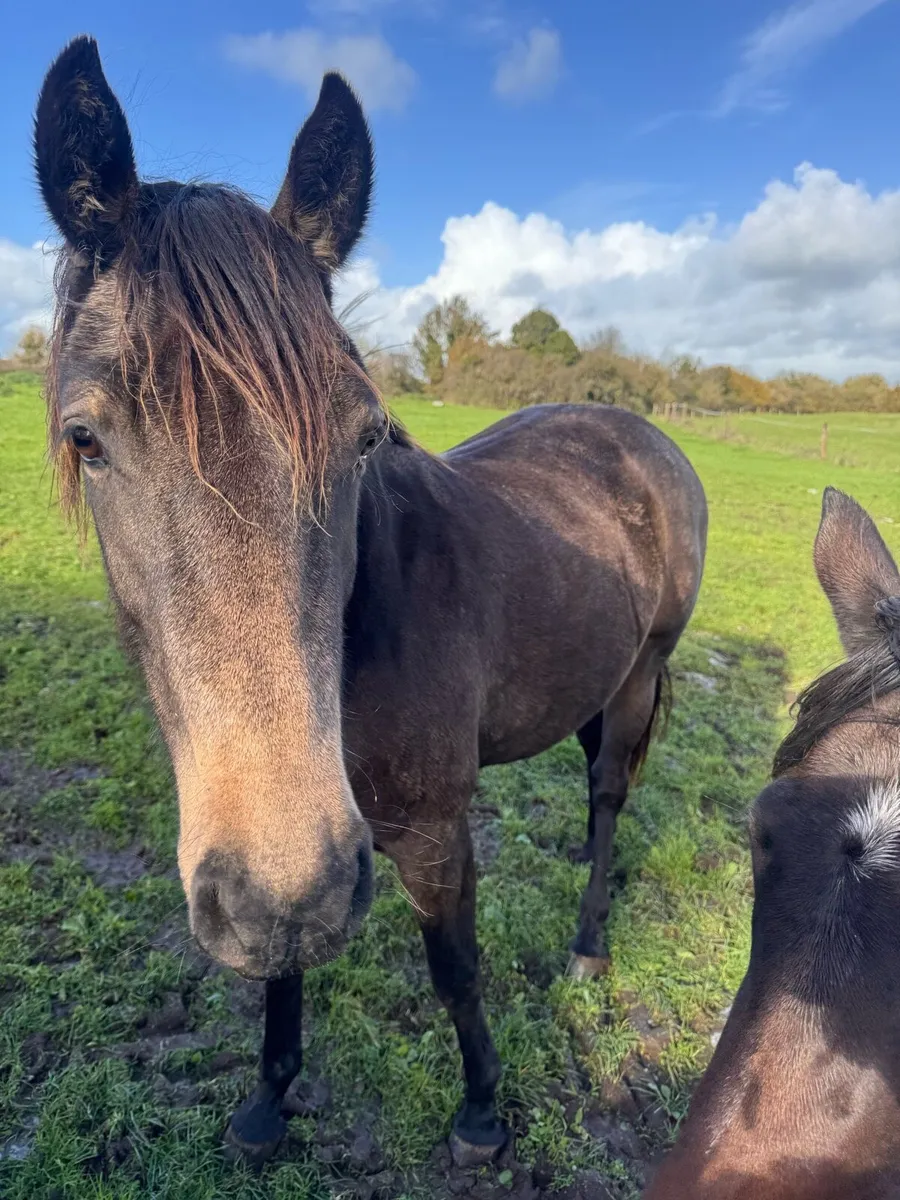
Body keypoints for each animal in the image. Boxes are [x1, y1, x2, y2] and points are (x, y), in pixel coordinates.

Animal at [34, 37, 707, 1168]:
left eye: (363, 435)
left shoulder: (434, 834)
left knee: (613, 791)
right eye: (86, 437)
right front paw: (268, 1102)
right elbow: (283, 967)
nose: (286, 879)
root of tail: (639, 429)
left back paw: (587, 941)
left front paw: (481, 1112)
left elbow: (455, 970)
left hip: (642, 674)